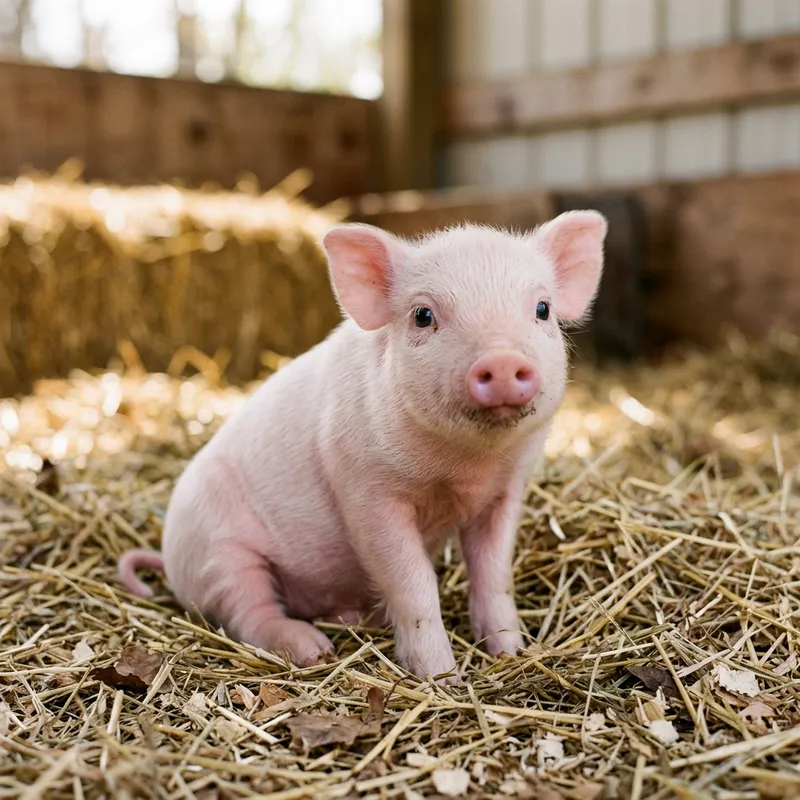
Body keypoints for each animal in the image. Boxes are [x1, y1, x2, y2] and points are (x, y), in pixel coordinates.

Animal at [117, 211, 607, 683]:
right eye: (422, 315)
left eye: (542, 308)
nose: (502, 360)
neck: (466, 469)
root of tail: (169, 557)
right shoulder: (367, 490)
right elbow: (413, 582)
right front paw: (442, 678)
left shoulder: (504, 493)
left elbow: (494, 574)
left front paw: (511, 653)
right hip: (220, 553)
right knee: (249, 614)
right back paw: (315, 649)